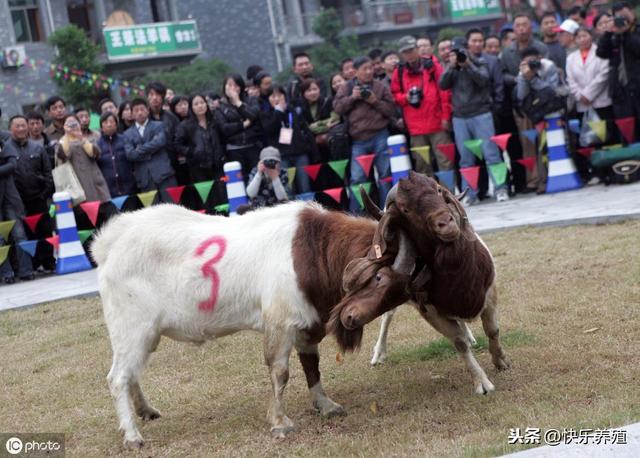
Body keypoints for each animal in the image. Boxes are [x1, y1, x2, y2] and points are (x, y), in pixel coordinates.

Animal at [360, 174, 516, 396]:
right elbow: (459, 343)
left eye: (439, 191)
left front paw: (501, 361)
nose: (446, 223)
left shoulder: (490, 291)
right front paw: (482, 383)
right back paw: (378, 354)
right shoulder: (431, 312)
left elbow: (493, 330)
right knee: (388, 316)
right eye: (405, 209)